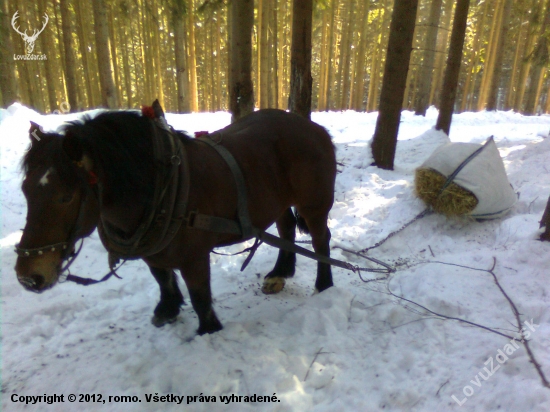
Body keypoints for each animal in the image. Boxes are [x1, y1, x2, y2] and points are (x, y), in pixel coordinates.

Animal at [14, 106, 336, 334]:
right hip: (278, 201)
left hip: (314, 204)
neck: (160, 185)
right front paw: (167, 309)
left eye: (66, 197)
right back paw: (280, 273)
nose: (28, 277)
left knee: (321, 240)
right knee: (287, 229)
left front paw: (209, 331)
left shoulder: (194, 257)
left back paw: (324, 285)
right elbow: (162, 277)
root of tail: (313, 127)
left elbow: (200, 296)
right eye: (26, 189)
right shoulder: (154, 250)